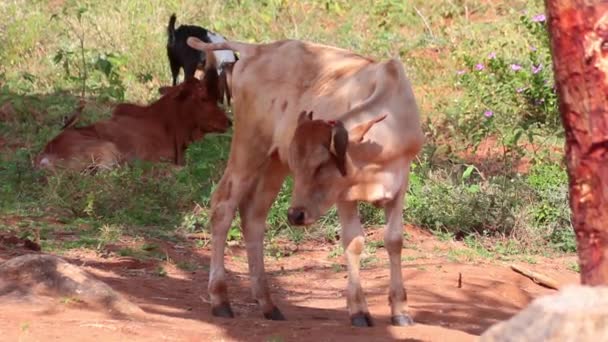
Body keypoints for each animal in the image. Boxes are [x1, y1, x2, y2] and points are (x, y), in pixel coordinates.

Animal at [188, 36, 426, 328]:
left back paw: (268, 303)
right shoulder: (343, 194)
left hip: (274, 163)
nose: (295, 215)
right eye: (300, 164)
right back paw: (220, 299)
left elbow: (394, 240)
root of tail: (257, 49)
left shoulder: (399, 184)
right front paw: (358, 310)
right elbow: (354, 241)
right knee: (223, 206)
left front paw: (400, 310)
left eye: (322, 164)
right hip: (249, 147)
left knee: (253, 216)